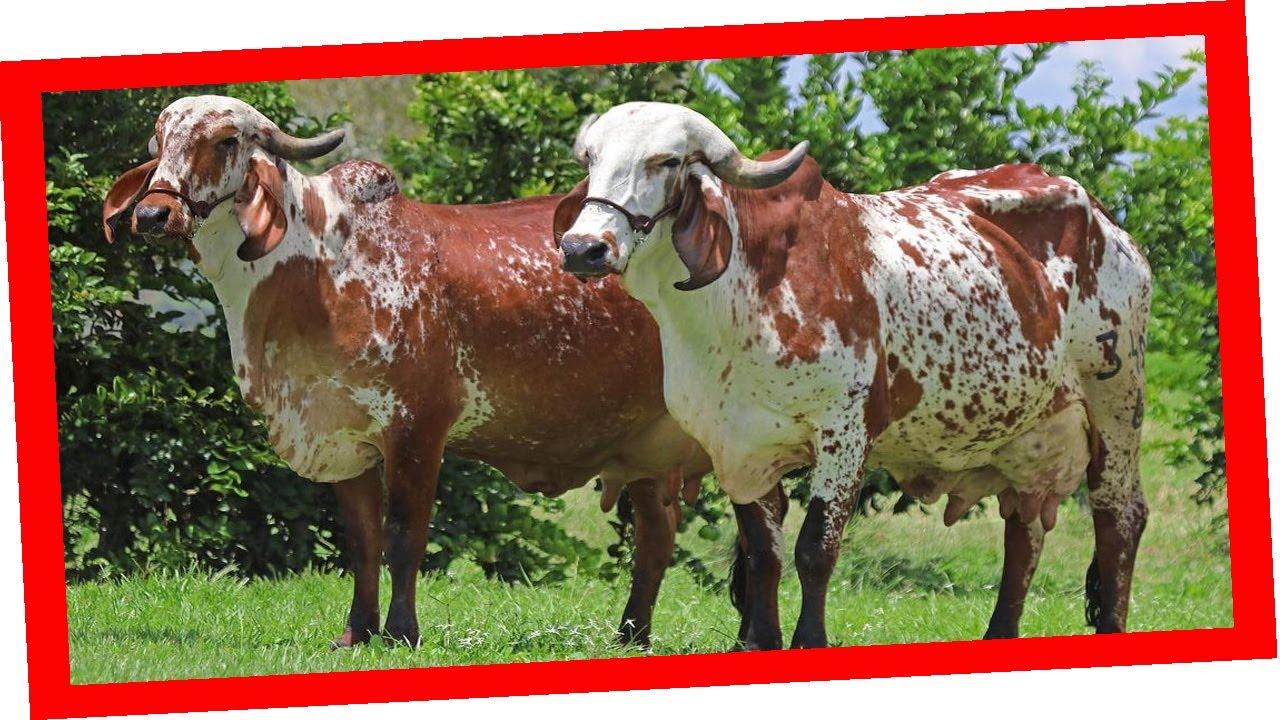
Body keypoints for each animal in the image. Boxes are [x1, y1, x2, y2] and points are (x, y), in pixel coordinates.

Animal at [104, 92, 716, 648]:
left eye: (226, 140)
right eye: (159, 142)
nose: (153, 214)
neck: (317, 268)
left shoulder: (417, 430)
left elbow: (402, 537)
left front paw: (401, 631)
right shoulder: (342, 435)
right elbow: (362, 541)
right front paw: (356, 632)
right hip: (647, 450)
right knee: (656, 538)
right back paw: (632, 636)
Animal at [555, 102, 1157, 650]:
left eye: (667, 160)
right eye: (591, 158)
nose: (583, 248)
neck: (739, 294)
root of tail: (1109, 224)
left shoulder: (844, 434)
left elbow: (814, 549)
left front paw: (809, 640)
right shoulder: (735, 444)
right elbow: (764, 549)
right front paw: (760, 641)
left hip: (1117, 404)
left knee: (1119, 519)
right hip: (1028, 436)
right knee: (1024, 530)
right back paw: (1000, 633)